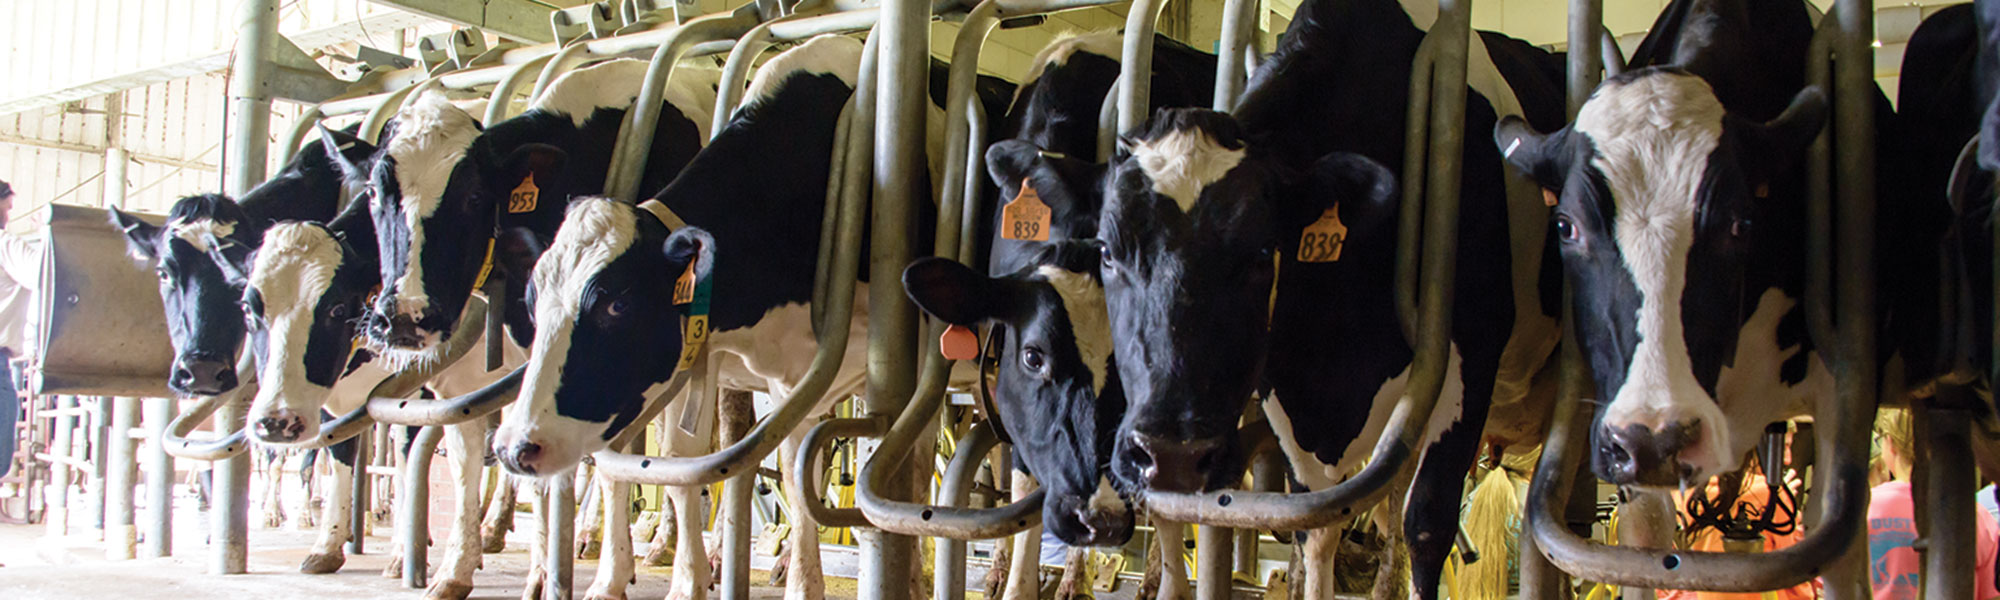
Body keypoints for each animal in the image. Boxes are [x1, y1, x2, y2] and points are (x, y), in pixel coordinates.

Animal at [1064, 0, 1576, 596]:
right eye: (1107, 251)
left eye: (1264, 251)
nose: (1170, 455)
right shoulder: (1290, 395)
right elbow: (1318, 522)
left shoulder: (1472, 351)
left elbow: (1427, 525)